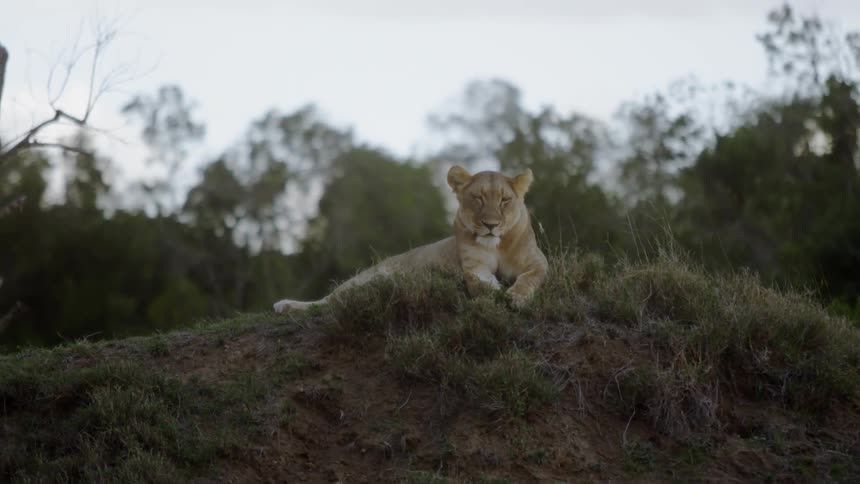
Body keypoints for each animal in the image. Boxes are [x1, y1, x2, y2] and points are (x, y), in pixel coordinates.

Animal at [273, 165, 548, 313]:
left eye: (505, 200)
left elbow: (529, 277)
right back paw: (286, 305)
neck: (496, 245)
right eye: (478, 198)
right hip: (363, 280)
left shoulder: (538, 262)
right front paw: (495, 292)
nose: (491, 225)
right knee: (327, 301)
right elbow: (480, 283)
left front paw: (517, 297)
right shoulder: (473, 268)